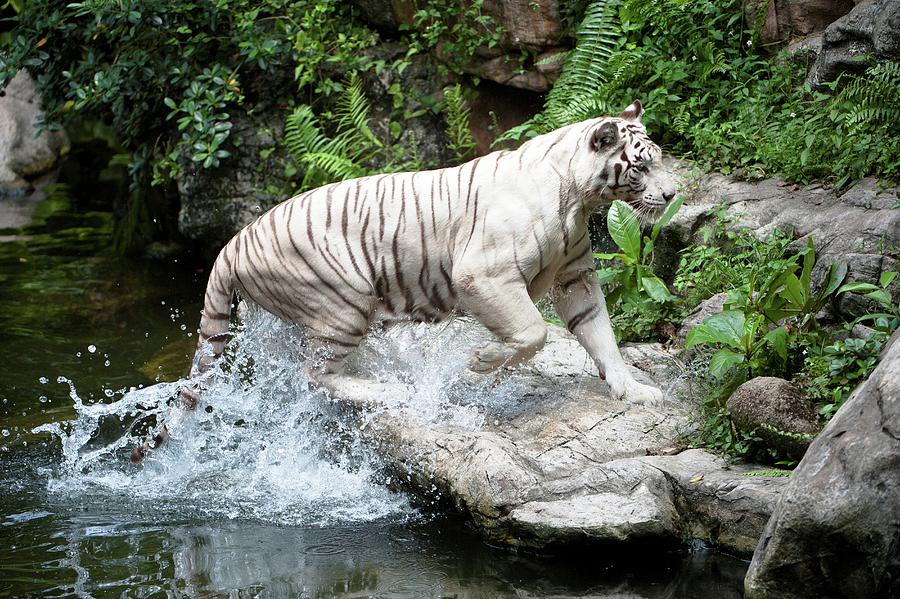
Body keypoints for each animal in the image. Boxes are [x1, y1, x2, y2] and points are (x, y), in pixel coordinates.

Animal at [132, 99, 676, 464]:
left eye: (660, 158)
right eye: (641, 165)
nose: (673, 194)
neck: (578, 200)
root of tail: (231, 242)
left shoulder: (575, 277)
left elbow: (600, 334)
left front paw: (633, 390)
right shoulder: (484, 275)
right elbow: (532, 332)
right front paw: (482, 363)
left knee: (308, 371)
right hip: (345, 297)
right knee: (316, 374)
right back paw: (387, 391)